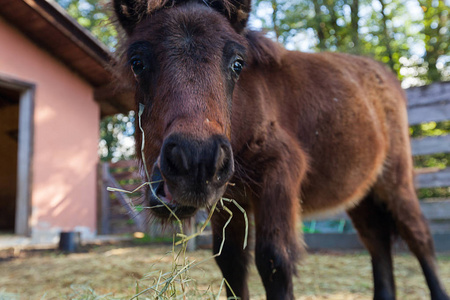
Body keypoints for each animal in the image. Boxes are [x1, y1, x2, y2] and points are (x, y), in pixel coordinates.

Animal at [110, 1, 448, 298]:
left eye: (237, 63)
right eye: (137, 62)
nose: (196, 163)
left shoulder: (279, 174)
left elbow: (274, 261)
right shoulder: (228, 201)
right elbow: (231, 262)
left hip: (395, 182)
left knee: (419, 236)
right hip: (361, 193)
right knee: (377, 241)